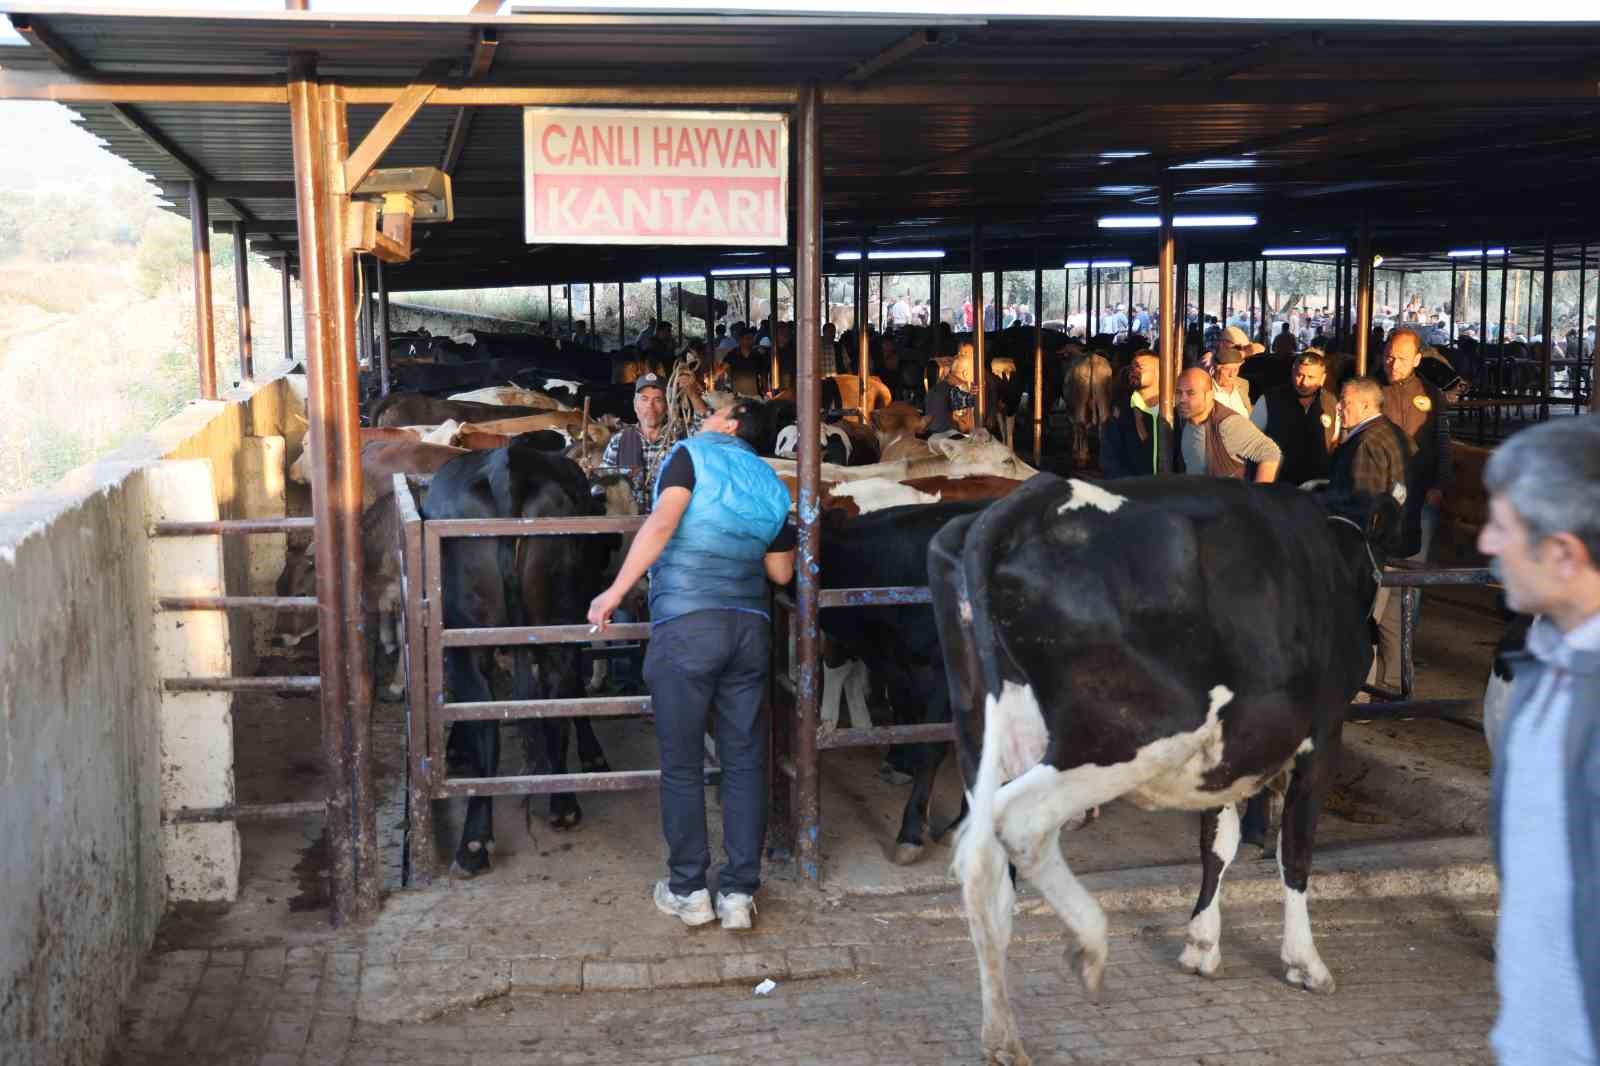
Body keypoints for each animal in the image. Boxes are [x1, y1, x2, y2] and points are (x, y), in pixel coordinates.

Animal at [419, 435, 617, 877]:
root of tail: (506, 464)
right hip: (551, 624)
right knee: (547, 708)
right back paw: (554, 808)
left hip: (480, 637)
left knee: (495, 722)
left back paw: (478, 839)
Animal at [934, 473, 1395, 1062]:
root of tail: (1032, 497)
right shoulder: (1324, 734)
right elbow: (1295, 851)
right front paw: (1305, 962)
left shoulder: (1227, 752)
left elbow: (1217, 843)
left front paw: (1201, 943)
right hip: (1128, 735)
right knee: (1020, 824)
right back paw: (1088, 943)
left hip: (984, 732)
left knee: (984, 861)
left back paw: (1002, 1034)